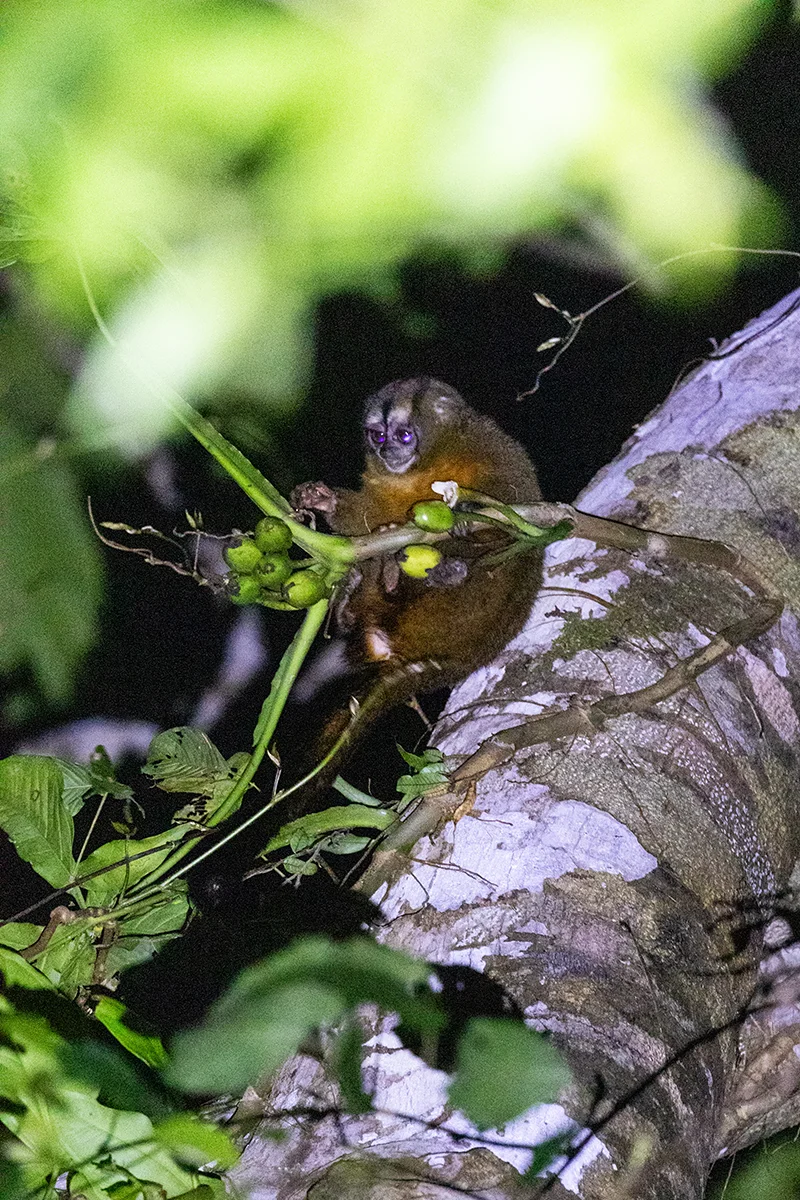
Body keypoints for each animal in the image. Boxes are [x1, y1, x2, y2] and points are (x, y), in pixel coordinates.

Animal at [283, 377, 543, 820]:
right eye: (377, 435)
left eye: (404, 435)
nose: (389, 451)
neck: (423, 469)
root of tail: (452, 662)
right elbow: (367, 523)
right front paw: (323, 499)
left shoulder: (496, 447)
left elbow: (518, 497)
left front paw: (469, 507)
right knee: (376, 556)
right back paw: (364, 592)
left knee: (504, 562)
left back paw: (445, 570)